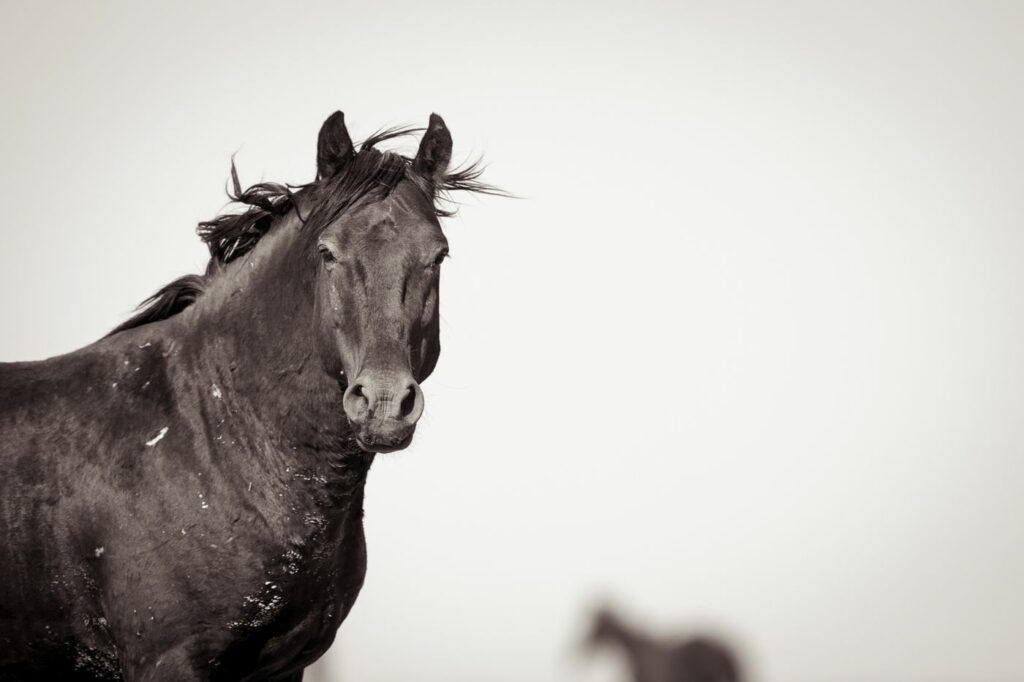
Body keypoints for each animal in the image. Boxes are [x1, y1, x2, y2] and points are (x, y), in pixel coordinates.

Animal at [0, 109, 495, 675]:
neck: (213, 438)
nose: (385, 404)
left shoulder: (285, 665)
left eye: (439, 255)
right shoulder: (168, 661)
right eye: (328, 253)